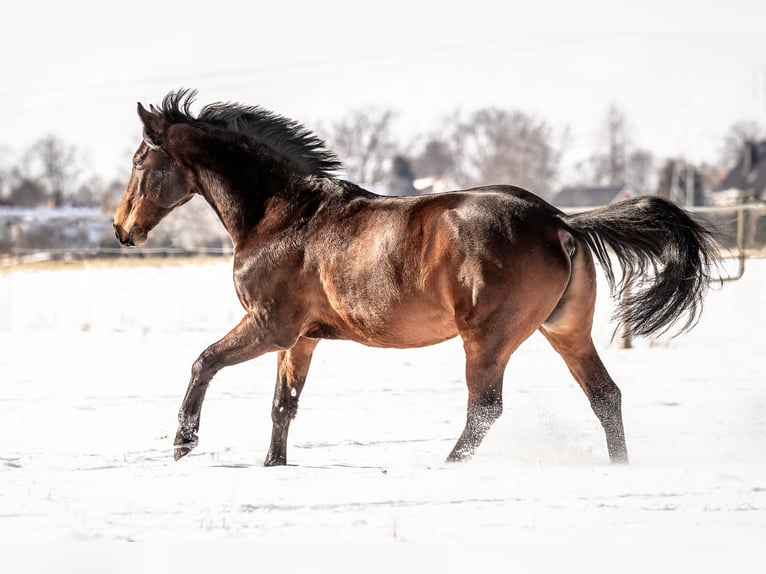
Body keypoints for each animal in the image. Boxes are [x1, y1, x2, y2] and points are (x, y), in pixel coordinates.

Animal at [113, 89, 719, 466]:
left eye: (140, 162)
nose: (122, 229)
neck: (283, 215)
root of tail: (559, 221)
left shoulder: (269, 326)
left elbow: (204, 362)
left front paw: (183, 444)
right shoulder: (302, 339)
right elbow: (283, 406)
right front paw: (272, 466)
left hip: (488, 339)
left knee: (486, 410)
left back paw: (445, 465)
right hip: (566, 330)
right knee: (605, 397)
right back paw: (619, 467)